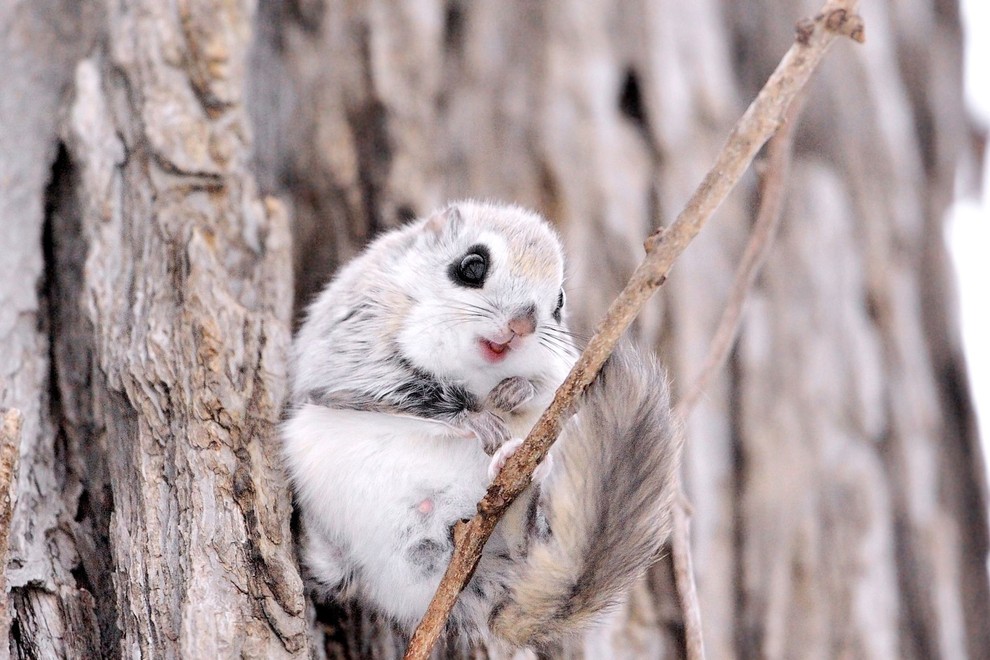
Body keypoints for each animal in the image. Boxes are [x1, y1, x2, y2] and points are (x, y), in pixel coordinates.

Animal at [280, 200, 680, 648]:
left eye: (559, 303)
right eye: (471, 266)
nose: (522, 325)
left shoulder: (562, 368)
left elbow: (549, 389)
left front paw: (516, 391)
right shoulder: (353, 348)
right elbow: (403, 393)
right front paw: (476, 419)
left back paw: (517, 467)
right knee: (334, 573)